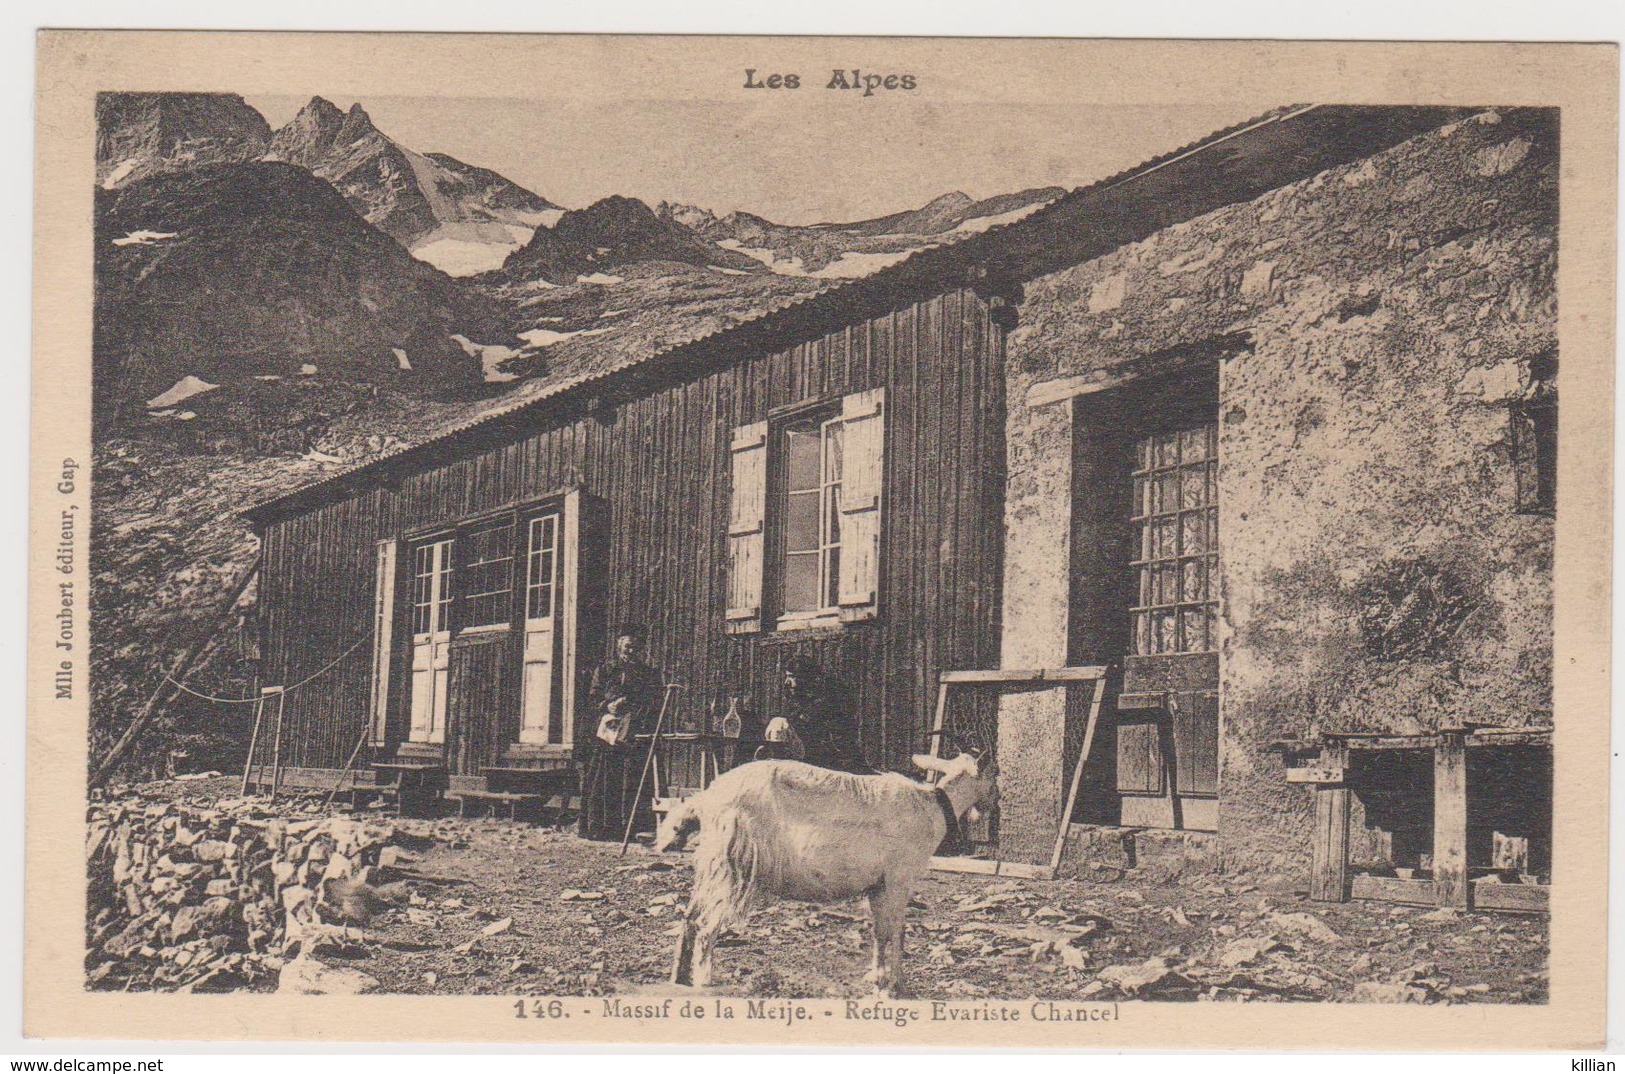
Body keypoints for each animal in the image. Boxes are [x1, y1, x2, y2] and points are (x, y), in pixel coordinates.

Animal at [656, 750, 988, 994]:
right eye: (989, 775)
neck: (934, 808)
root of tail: (704, 798)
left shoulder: (878, 884)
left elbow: (880, 931)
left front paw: (877, 978)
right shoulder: (898, 878)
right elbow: (897, 930)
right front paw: (896, 986)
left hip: (712, 864)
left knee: (690, 916)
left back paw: (678, 979)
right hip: (731, 863)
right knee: (706, 923)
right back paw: (704, 980)